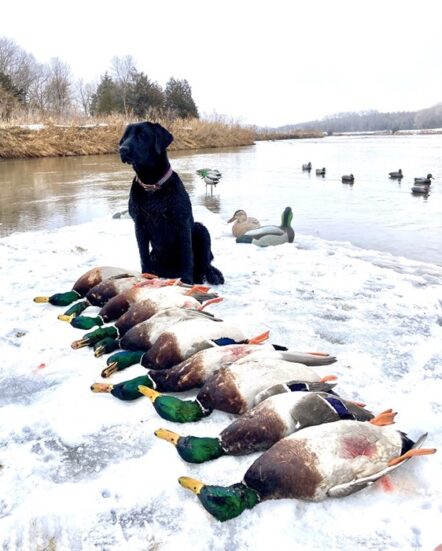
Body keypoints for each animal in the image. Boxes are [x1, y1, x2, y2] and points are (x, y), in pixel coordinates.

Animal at [119, 120, 224, 284]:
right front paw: (146, 276)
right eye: (125, 136)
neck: (152, 186)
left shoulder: (182, 222)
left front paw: (186, 280)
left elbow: (187, 255)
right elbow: (143, 255)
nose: (122, 149)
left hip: (201, 229)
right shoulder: (139, 225)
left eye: (142, 135)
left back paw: (212, 276)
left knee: (205, 264)